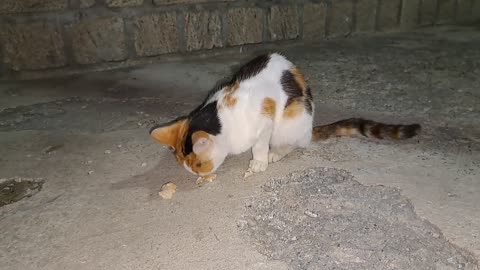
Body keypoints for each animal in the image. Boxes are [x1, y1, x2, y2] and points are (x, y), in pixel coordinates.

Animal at [149, 53, 420, 179]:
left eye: (197, 165)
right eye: (186, 166)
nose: (195, 175)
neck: (221, 117)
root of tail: (309, 129)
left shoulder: (265, 117)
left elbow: (259, 144)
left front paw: (259, 161)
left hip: (292, 118)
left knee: (294, 144)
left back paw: (275, 154)